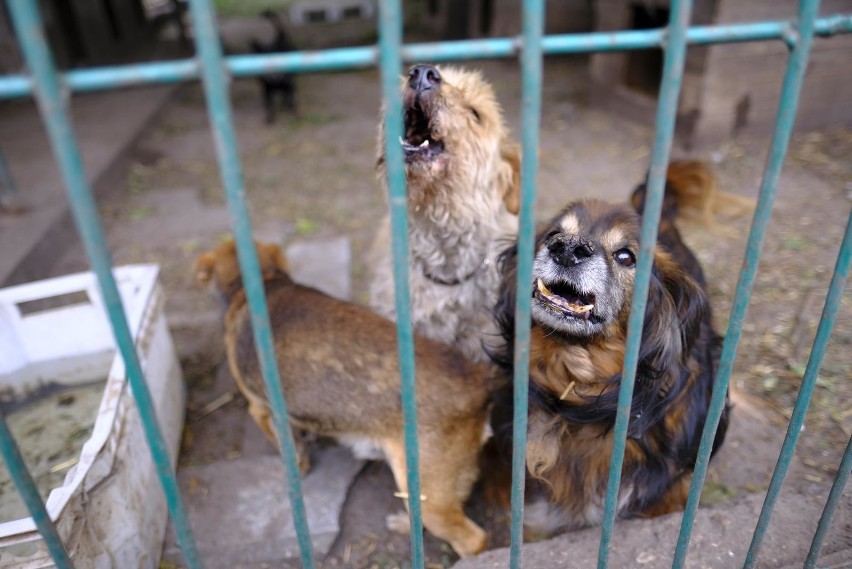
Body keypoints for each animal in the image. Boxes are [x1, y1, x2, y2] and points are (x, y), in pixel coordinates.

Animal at [194, 239, 496, 556]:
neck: (262, 282)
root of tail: (477, 378)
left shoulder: (260, 410)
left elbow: (290, 451)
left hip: (430, 493)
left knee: (473, 539)